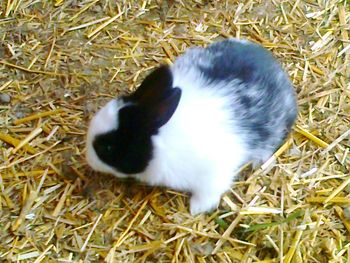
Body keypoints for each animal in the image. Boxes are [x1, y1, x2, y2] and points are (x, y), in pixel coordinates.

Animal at [86, 39, 296, 217]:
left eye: (107, 147)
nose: (88, 160)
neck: (162, 137)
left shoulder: (213, 174)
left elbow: (209, 193)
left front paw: (196, 209)